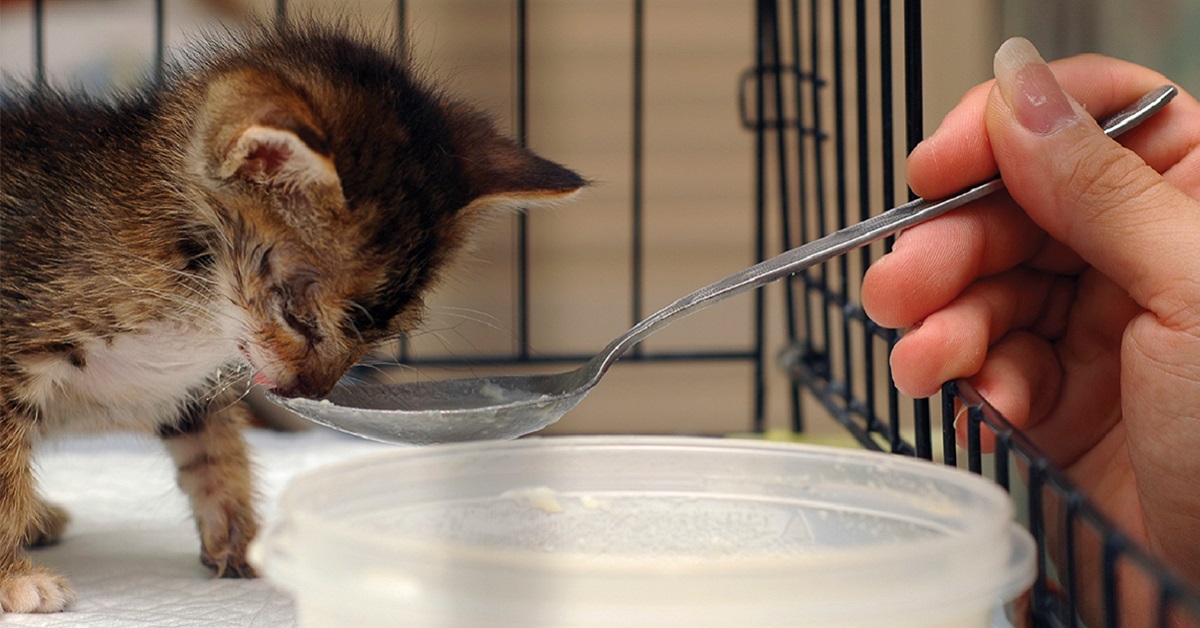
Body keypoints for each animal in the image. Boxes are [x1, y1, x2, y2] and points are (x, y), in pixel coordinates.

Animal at [0, 20, 580, 614]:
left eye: (380, 336)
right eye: (299, 319)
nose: (311, 391)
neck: (198, 307)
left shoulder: (190, 391)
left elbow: (216, 458)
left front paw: (245, 543)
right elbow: (4, 478)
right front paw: (13, 580)